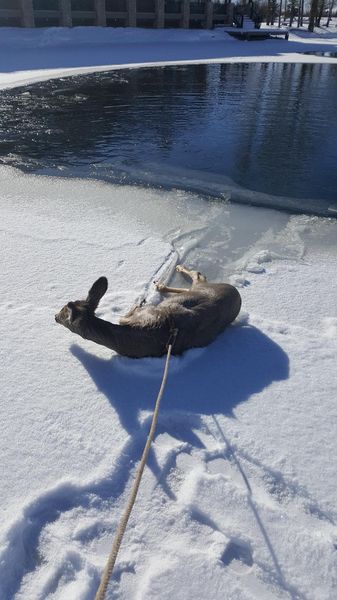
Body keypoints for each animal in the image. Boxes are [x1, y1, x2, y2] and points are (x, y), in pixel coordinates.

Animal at [54, 266, 239, 358]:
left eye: (63, 311)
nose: (55, 316)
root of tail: (237, 293)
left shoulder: (140, 313)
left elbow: (127, 313)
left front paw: (138, 302)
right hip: (197, 291)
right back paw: (161, 285)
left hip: (203, 288)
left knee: (198, 275)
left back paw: (176, 270)